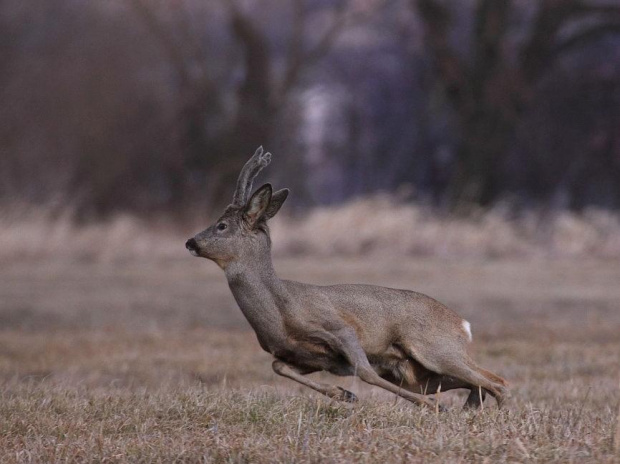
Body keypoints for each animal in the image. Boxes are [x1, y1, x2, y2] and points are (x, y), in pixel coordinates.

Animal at [184, 148, 508, 410]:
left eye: (221, 225)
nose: (190, 242)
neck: (279, 310)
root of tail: (462, 324)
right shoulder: (307, 358)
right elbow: (278, 367)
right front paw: (344, 395)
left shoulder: (339, 328)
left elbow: (365, 371)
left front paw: (433, 407)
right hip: (415, 372)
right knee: (482, 382)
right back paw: (470, 409)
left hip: (435, 348)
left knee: (497, 381)